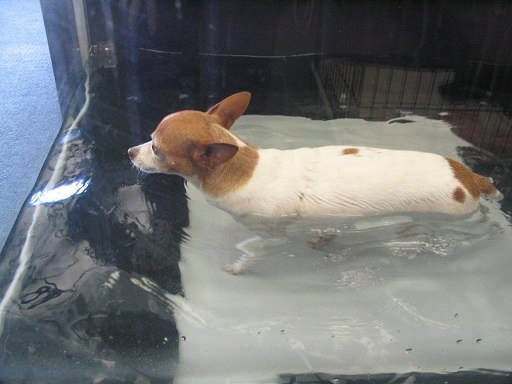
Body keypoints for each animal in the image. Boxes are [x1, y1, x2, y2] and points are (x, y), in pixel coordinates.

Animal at [127, 92, 500, 274]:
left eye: (156, 148)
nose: (129, 151)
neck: (243, 168)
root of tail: (470, 177)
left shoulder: (273, 235)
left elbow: (253, 250)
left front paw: (238, 266)